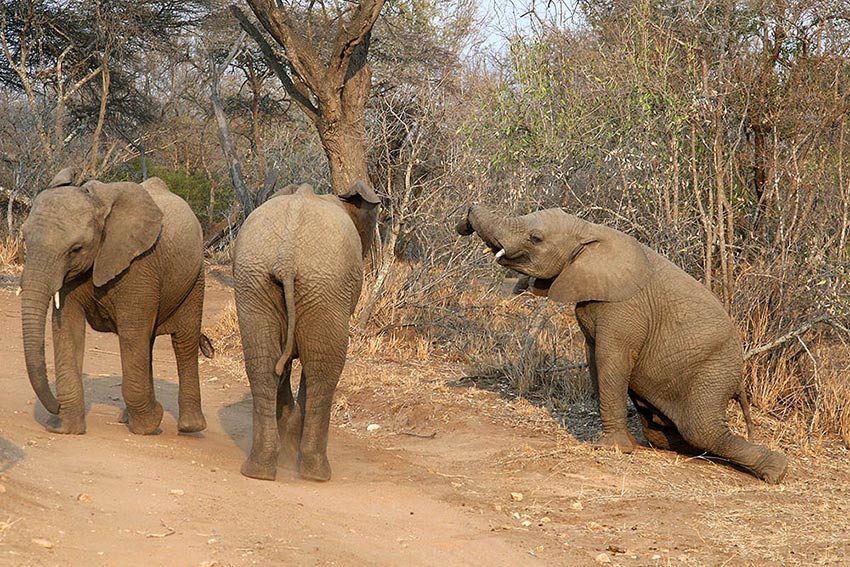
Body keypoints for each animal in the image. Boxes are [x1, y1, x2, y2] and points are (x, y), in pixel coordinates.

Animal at [20, 169, 210, 434]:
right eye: (24, 239)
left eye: (76, 249)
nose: (55, 406)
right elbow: (67, 328)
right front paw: (65, 429)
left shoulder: (140, 266)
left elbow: (132, 333)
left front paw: (149, 425)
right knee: (147, 342)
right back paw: (130, 418)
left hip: (195, 277)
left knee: (183, 342)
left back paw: (190, 427)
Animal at [232, 180, 378, 482]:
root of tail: (287, 256)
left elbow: (282, 363)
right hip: (326, 286)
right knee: (323, 369)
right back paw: (315, 472)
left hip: (253, 281)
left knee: (262, 364)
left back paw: (259, 470)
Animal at [458, 206, 788, 486]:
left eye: (535, 238)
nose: (467, 215)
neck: (588, 231)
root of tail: (739, 376)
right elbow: (595, 359)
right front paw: (622, 444)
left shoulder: (625, 310)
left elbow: (611, 360)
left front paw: (610, 448)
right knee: (671, 432)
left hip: (712, 373)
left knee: (702, 429)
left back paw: (777, 472)